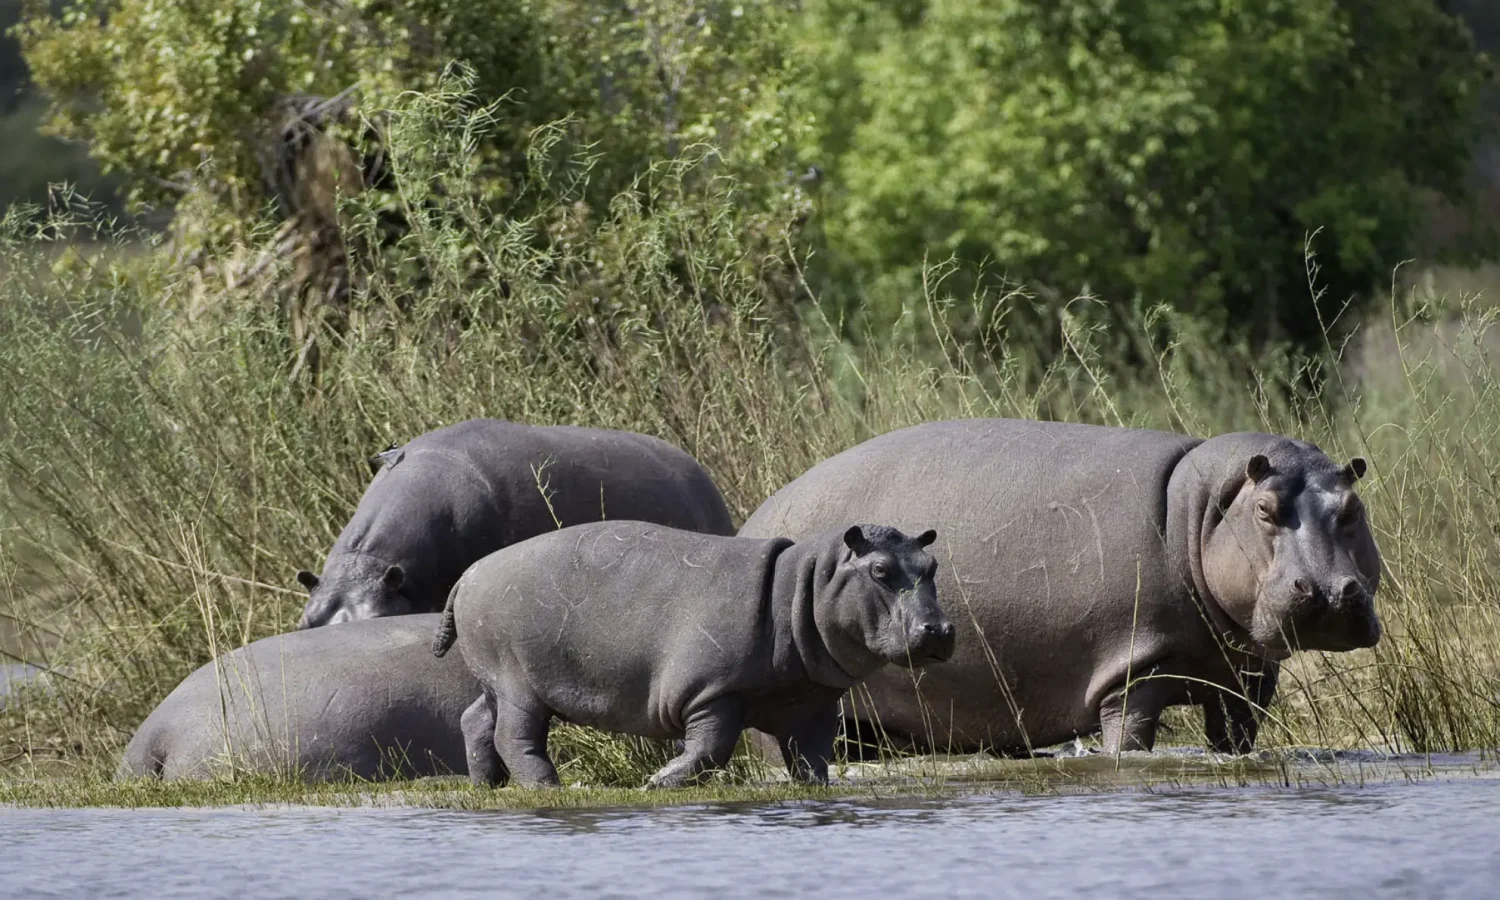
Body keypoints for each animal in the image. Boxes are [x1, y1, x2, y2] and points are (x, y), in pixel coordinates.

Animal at [431, 521, 955, 788]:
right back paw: (549, 787)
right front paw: (658, 781)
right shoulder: (712, 693)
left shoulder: (813, 700)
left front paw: (818, 789)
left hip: (495, 681)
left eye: (931, 564)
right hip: (516, 682)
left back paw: (488, 785)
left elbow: (812, 757)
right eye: (880, 570)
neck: (805, 586)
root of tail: (469, 572)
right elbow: (710, 748)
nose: (939, 629)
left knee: (475, 721)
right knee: (516, 736)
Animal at [737, 418, 1382, 756]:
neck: (1202, 513)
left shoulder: (1246, 677)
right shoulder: (1132, 673)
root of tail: (751, 520)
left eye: (1353, 507)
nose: (1331, 592)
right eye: (1267, 510)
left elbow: (1236, 736)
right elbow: (1129, 738)